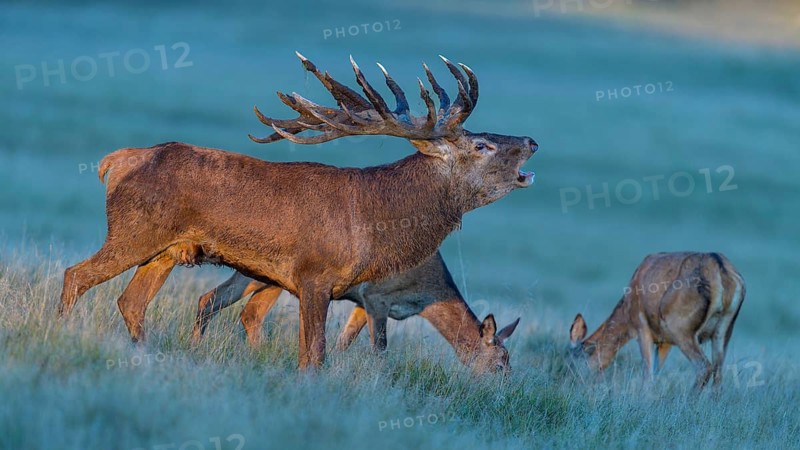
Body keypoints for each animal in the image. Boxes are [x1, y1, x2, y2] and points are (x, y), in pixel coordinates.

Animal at [191, 252, 520, 374]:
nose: (501, 391)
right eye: (499, 365)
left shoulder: (363, 303)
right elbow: (380, 348)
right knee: (220, 302)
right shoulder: (376, 297)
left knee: (236, 308)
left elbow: (344, 341)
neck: (426, 293)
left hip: (270, 278)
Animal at [568, 252, 745, 389]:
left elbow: (648, 375)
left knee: (704, 367)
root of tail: (722, 273)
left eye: (572, 363)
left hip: (681, 330)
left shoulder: (642, 328)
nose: (573, 385)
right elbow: (656, 372)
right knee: (718, 375)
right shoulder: (664, 342)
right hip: (723, 332)